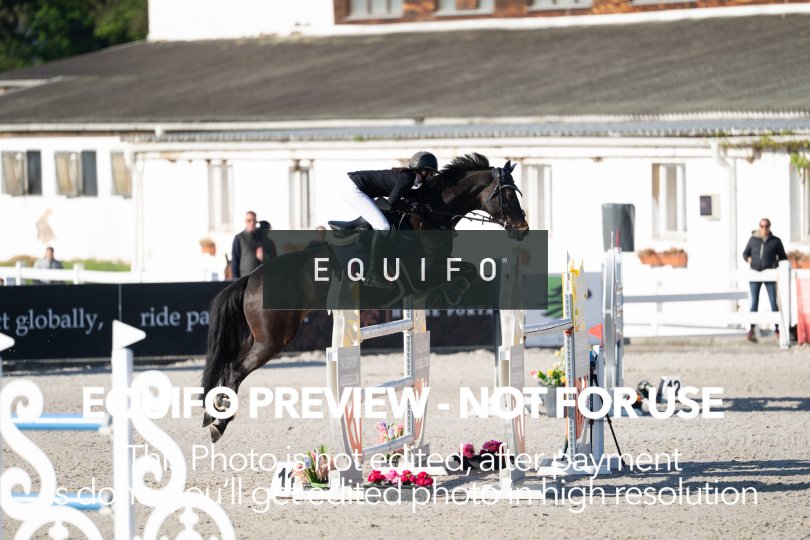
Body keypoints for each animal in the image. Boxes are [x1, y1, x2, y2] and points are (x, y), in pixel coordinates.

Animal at [201, 153, 529, 442]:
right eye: (508, 195)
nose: (523, 230)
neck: (429, 215)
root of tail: (252, 277)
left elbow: (468, 270)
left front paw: (451, 294)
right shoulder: (423, 275)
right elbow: (464, 271)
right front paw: (451, 293)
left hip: (260, 335)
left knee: (229, 363)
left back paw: (211, 416)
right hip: (273, 337)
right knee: (236, 368)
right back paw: (218, 423)